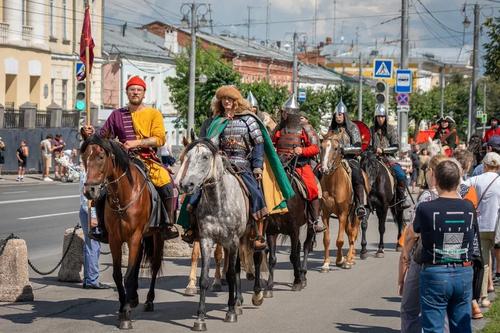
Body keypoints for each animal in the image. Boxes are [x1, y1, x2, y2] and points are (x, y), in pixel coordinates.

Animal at [80, 136, 164, 330]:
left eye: (101, 157)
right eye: (84, 158)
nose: (89, 191)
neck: (123, 196)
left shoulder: (134, 238)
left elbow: (128, 275)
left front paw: (126, 315)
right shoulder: (115, 240)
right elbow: (118, 275)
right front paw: (122, 306)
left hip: (156, 236)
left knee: (155, 266)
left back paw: (148, 300)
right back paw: (133, 298)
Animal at [179, 137, 250, 330]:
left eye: (205, 157)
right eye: (187, 157)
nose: (185, 185)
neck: (218, 202)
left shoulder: (233, 241)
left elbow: (231, 275)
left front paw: (230, 312)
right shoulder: (206, 239)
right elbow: (204, 278)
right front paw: (200, 318)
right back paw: (238, 301)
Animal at [322, 130, 362, 270]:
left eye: (336, 148)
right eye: (322, 147)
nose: (324, 168)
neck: (333, 183)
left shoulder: (343, 214)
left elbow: (339, 240)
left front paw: (340, 260)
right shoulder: (325, 214)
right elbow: (326, 239)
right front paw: (326, 263)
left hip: (356, 215)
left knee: (353, 234)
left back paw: (349, 260)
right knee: (350, 233)